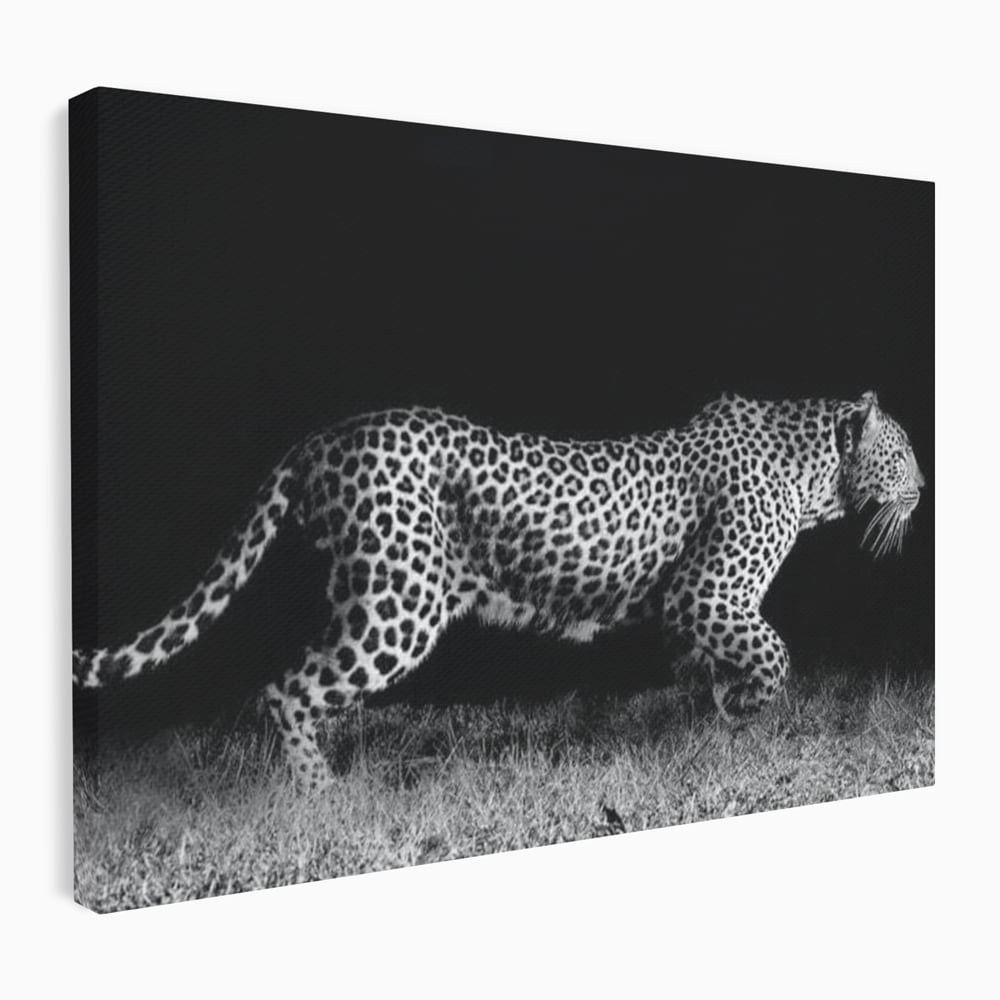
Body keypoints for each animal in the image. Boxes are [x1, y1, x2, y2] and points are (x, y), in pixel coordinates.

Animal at [73, 390, 925, 790]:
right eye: (906, 451)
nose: (925, 487)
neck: (814, 474)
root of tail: (325, 436)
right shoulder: (710, 593)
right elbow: (774, 654)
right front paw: (745, 710)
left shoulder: (696, 613)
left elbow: (711, 671)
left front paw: (714, 723)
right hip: (398, 603)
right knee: (286, 689)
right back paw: (323, 794)